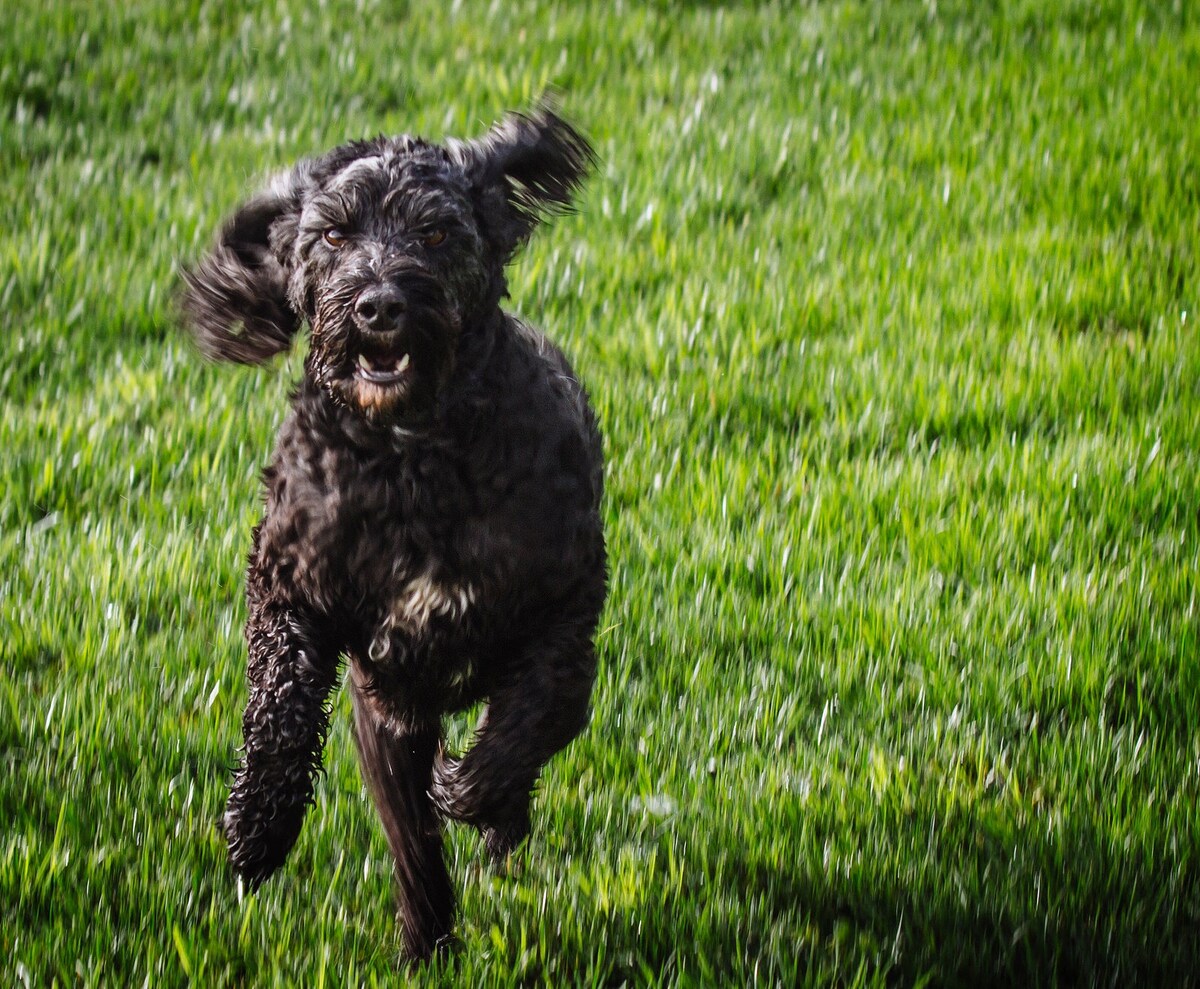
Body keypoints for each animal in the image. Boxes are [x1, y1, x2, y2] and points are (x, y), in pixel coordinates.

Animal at [178, 106, 609, 960]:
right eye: (334, 234)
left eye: (436, 232)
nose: (378, 305)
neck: (410, 460)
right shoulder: (295, 587)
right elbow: (282, 700)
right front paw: (259, 824)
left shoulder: (564, 610)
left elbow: (533, 715)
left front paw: (471, 785)